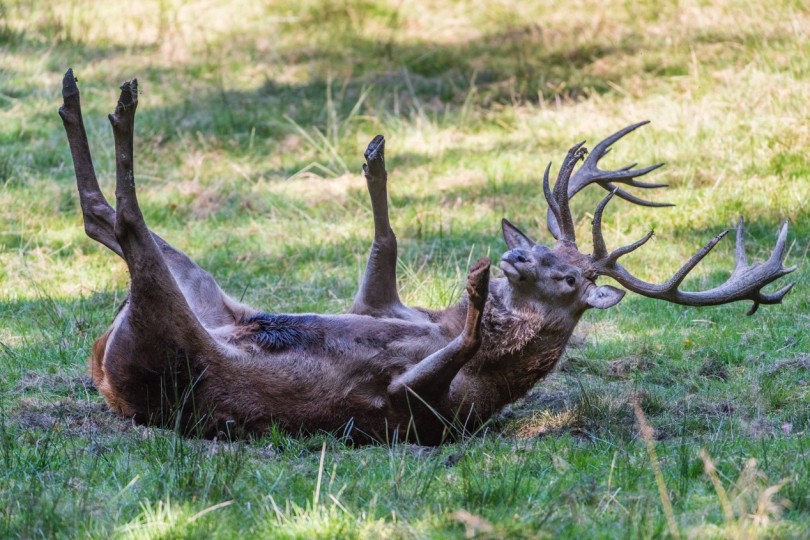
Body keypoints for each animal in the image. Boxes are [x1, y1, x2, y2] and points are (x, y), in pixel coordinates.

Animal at [58, 69, 796, 446]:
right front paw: (376, 158)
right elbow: (386, 244)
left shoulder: (427, 413)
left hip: (173, 333)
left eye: (570, 276)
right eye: (540, 244)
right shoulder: (383, 305)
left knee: (123, 223)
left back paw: (111, 103)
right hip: (203, 291)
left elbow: (436, 359)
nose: (514, 256)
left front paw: (474, 289)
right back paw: (85, 95)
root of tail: (105, 375)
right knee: (108, 221)